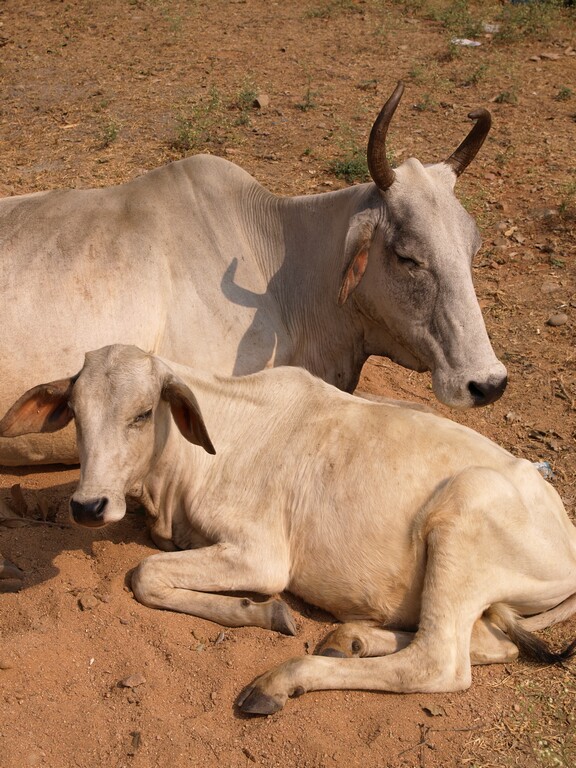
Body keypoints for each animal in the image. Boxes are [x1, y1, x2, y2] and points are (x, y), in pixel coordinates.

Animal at [0, 344, 573, 712]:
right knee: (491, 644)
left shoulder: (261, 555)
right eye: (75, 414)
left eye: (142, 414)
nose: (88, 505)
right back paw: (351, 639)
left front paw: (264, 610)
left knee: (438, 662)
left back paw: (281, 680)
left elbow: (145, 574)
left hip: (462, 513)